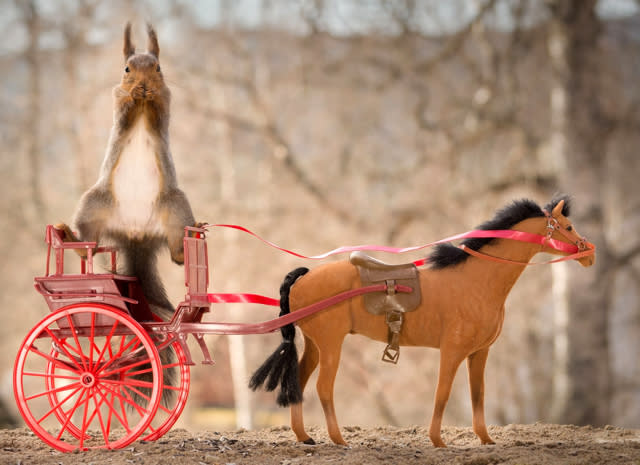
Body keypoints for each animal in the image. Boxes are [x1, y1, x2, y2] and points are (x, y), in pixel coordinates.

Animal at [60, 21, 200, 320]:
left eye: (158, 67)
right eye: (126, 69)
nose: (143, 84)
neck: (143, 106)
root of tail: (136, 236)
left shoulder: (166, 103)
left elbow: (159, 113)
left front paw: (149, 94)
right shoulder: (117, 102)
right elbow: (125, 114)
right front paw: (135, 93)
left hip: (175, 208)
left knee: (177, 255)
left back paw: (191, 236)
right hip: (92, 206)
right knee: (88, 248)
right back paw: (69, 237)